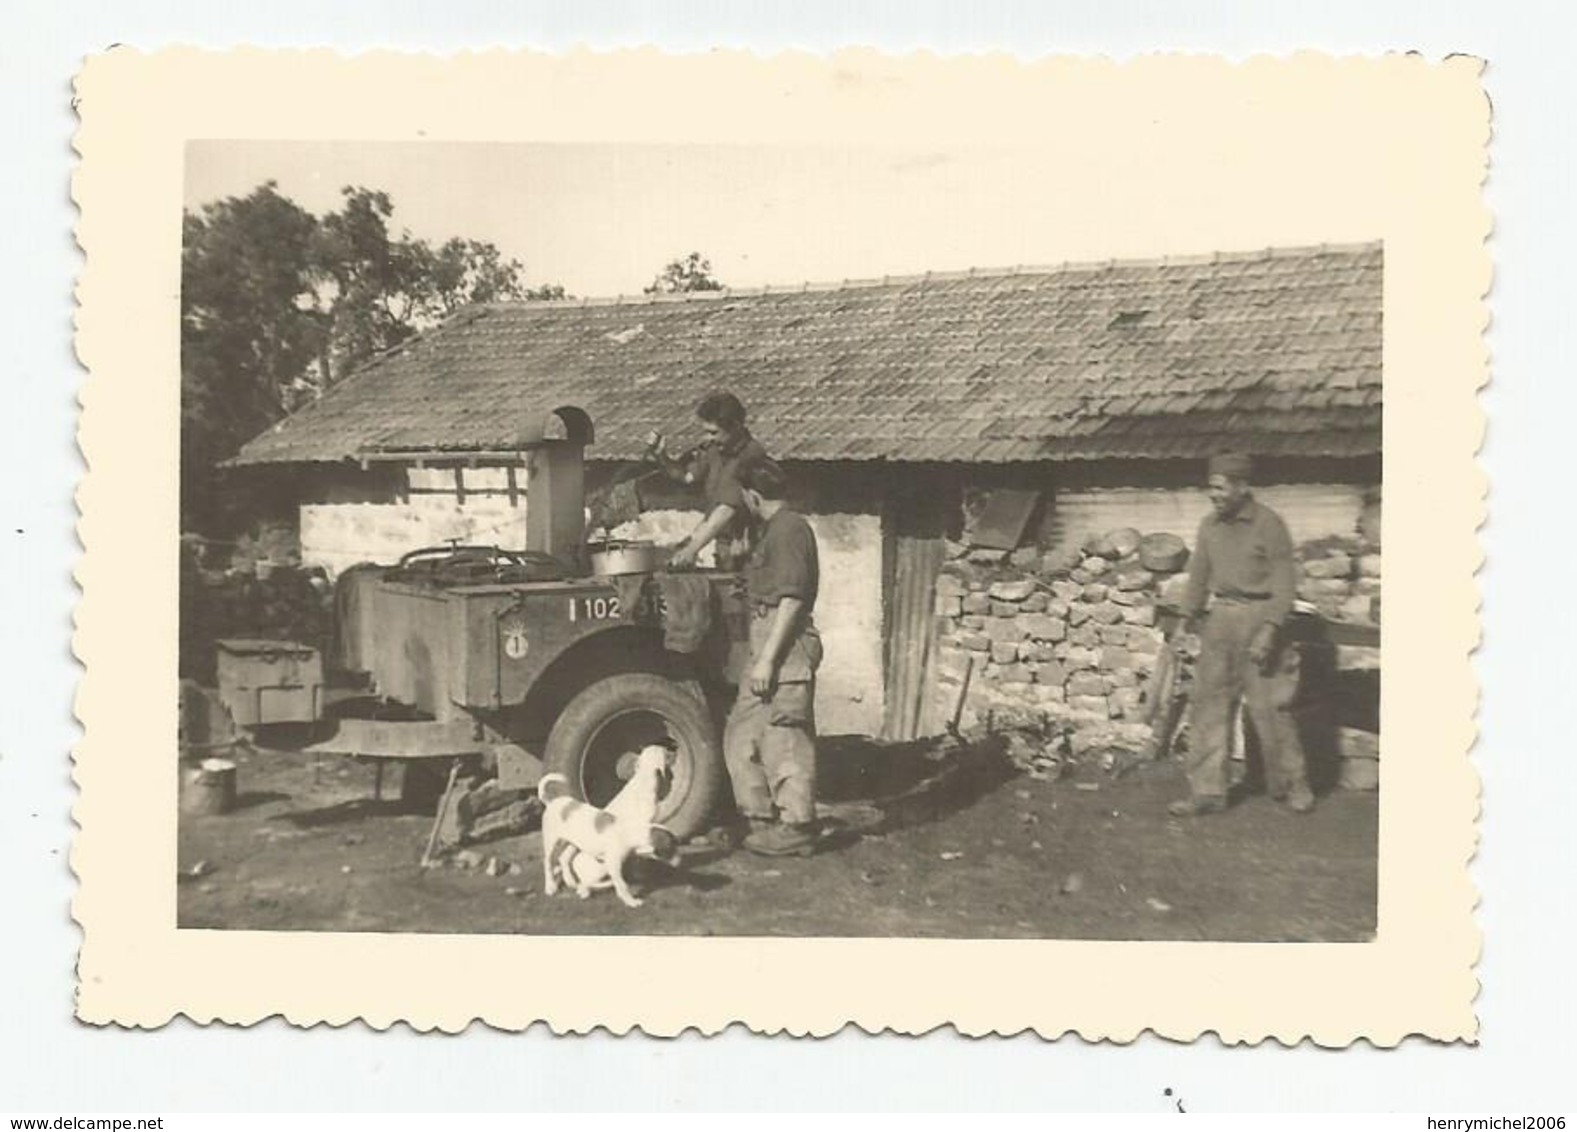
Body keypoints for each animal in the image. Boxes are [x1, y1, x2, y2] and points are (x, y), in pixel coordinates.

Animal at [539, 750, 674, 908]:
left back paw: (572, 882)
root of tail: (552, 802)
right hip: (552, 841)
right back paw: (551, 886)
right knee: (548, 862)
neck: (642, 780)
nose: (673, 751)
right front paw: (631, 899)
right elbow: (625, 880)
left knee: (564, 859)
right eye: (666, 751)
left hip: (573, 843)